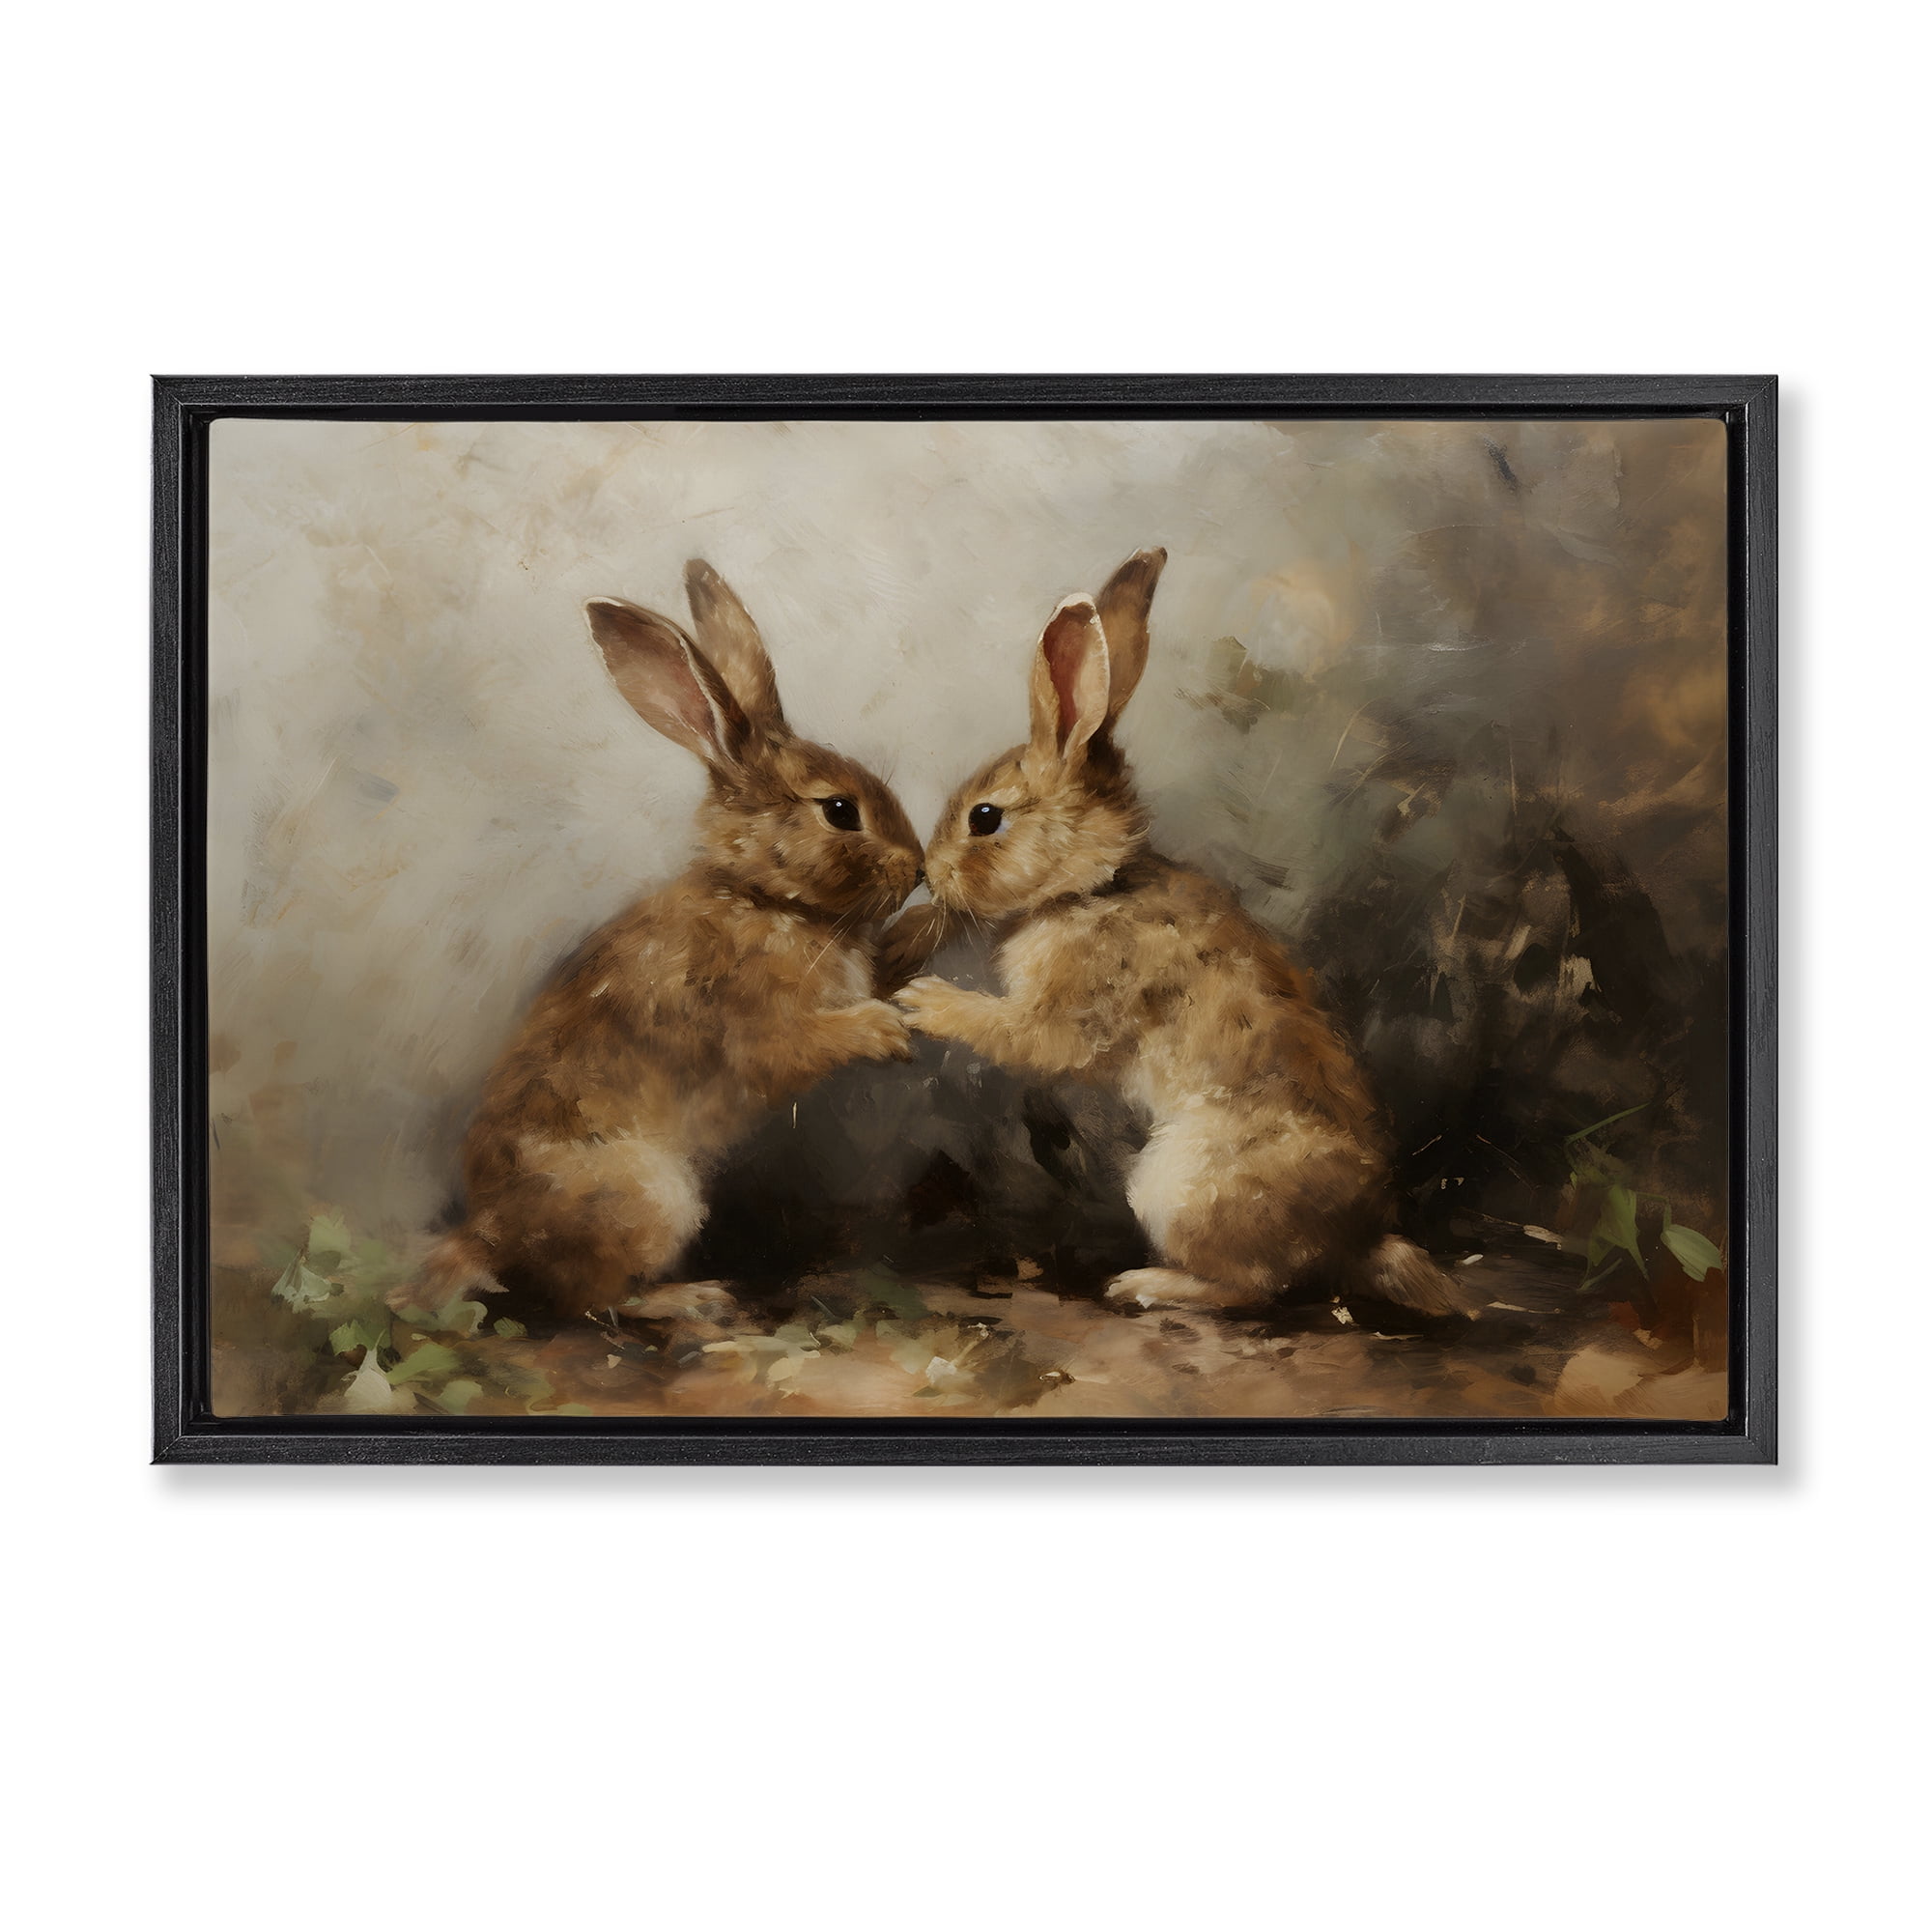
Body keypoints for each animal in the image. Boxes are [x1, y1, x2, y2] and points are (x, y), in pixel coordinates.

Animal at [397, 561, 924, 1324]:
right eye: (838, 810)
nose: (919, 869)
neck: (761, 894)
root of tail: (490, 1236)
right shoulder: (756, 1025)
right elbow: (796, 1047)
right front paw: (884, 1030)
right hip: (652, 1198)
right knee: (590, 1302)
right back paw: (691, 1298)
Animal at [892, 549, 1460, 1317]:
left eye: (986, 818)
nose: (929, 871)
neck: (1092, 886)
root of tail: (1358, 1243)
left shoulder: (1076, 1011)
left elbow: (1027, 1038)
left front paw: (927, 1002)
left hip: (1177, 1185)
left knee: (1253, 1288)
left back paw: (1144, 1284)